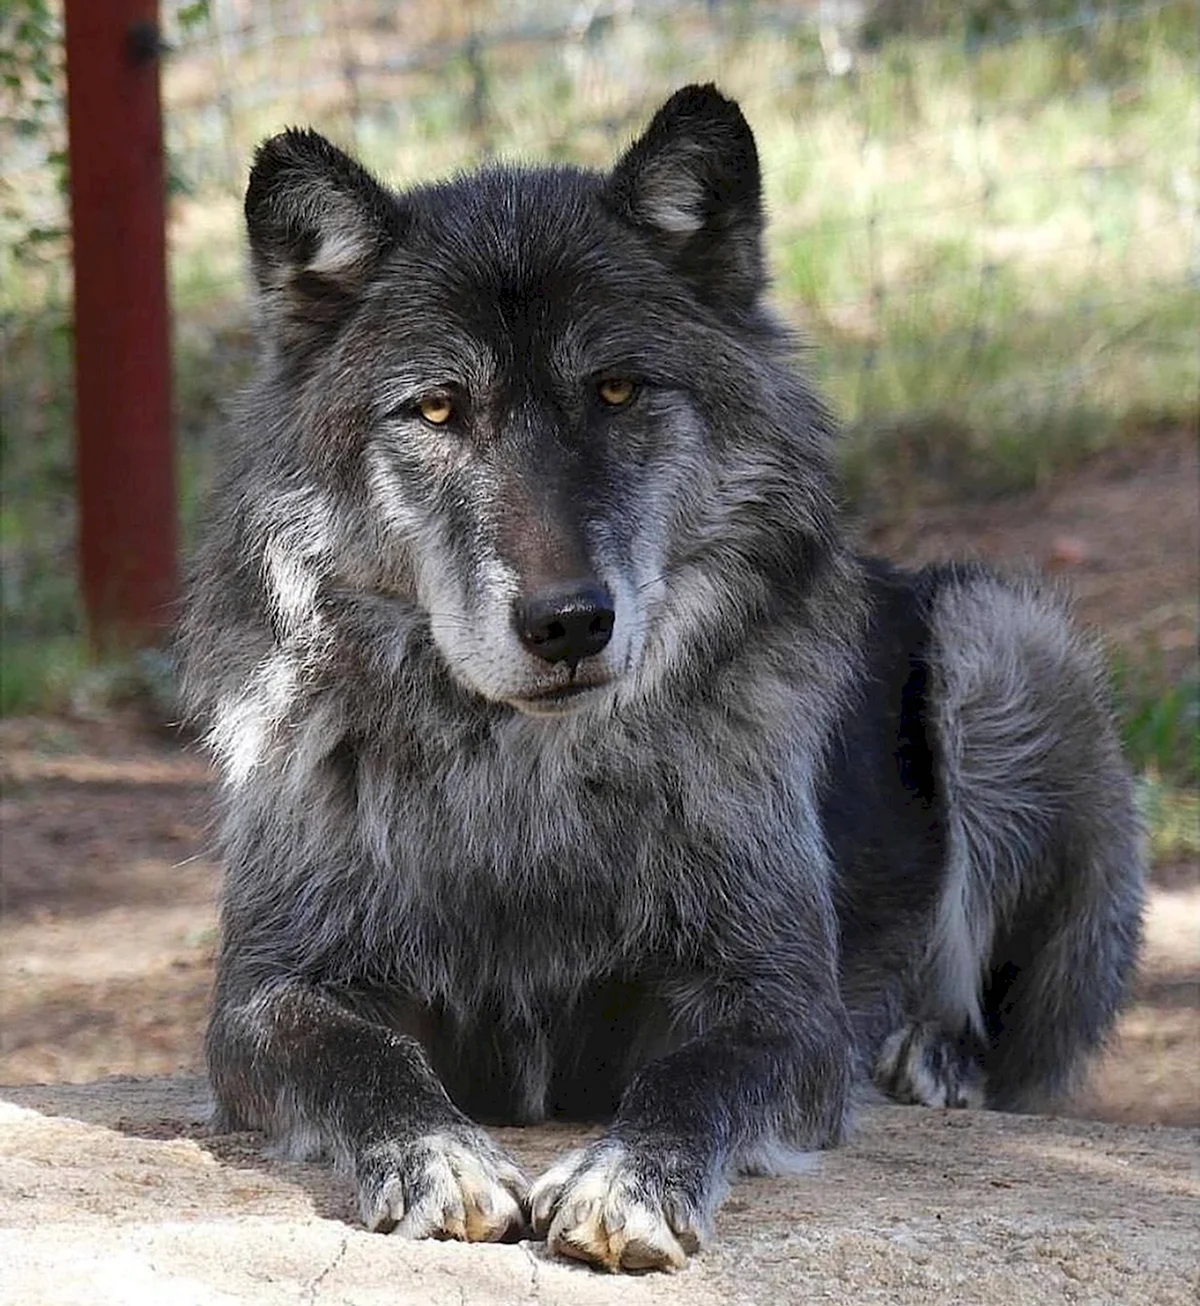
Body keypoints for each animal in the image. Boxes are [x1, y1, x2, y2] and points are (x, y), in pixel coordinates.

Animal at [178, 86, 1143, 1269]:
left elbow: (695, 1076)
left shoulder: (780, 1002)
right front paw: (436, 1156)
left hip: (1000, 638)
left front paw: (626, 1179)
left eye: (617, 389)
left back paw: (933, 1054)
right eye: (438, 409)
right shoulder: (267, 994)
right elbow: (367, 1060)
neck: (525, 783)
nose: (567, 622)